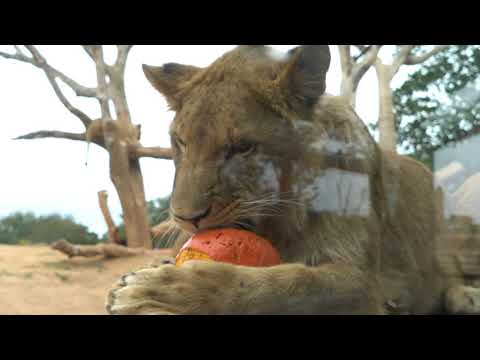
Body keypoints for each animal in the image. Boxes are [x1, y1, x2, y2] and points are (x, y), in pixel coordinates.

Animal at [107, 45, 480, 316]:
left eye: (243, 147)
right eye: (180, 142)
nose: (186, 218)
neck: (282, 219)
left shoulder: (367, 286)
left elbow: (286, 284)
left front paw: (158, 290)